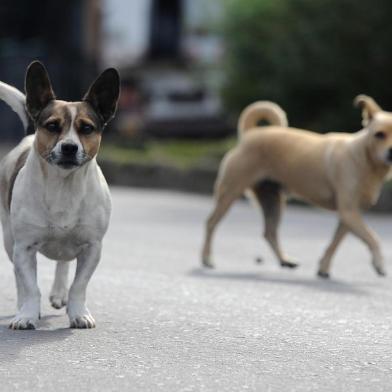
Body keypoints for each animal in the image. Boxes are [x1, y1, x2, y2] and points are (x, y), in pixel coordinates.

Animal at [0, 61, 119, 330]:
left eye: (87, 128)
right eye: (52, 126)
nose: (69, 147)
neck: (64, 186)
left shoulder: (92, 248)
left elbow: (79, 286)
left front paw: (78, 313)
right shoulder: (24, 247)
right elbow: (30, 287)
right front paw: (27, 314)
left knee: (63, 262)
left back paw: (58, 292)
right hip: (10, 240)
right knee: (19, 278)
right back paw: (22, 306)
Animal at [202, 96, 392, 278]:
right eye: (379, 134)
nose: (390, 152)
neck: (365, 159)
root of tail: (251, 134)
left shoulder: (350, 215)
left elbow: (335, 243)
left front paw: (323, 267)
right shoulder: (348, 211)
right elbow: (372, 237)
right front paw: (379, 263)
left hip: (273, 201)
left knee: (269, 232)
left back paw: (285, 260)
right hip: (230, 192)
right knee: (211, 223)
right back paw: (207, 259)